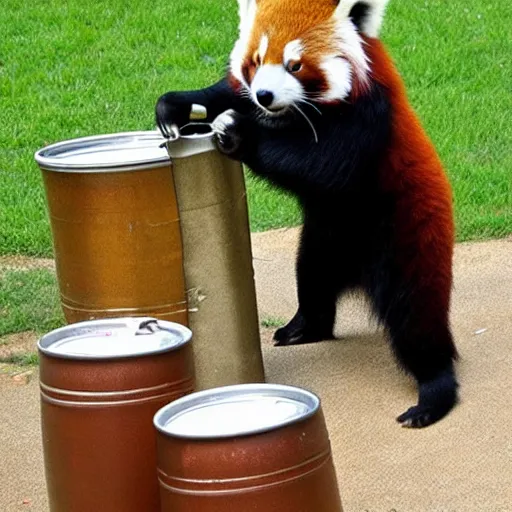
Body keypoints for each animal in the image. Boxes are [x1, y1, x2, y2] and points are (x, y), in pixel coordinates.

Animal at [155, 0, 456, 428]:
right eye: (256, 60)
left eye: (295, 65)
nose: (264, 95)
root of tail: (359, 271)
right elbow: (226, 94)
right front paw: (177, 105)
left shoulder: (369, 114)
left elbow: (322, 164)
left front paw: (240, 133)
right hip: (324, 239)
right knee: (312, 278)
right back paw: (303, 327)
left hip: (407, 231)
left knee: (416, 317)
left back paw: (433, 392)